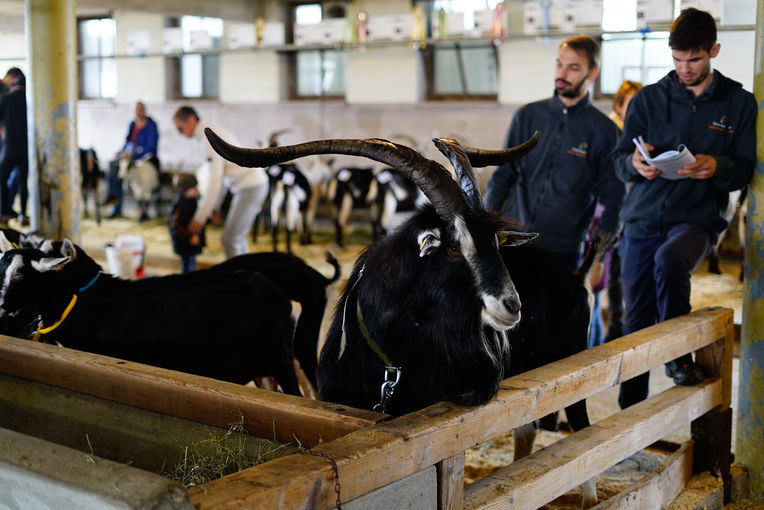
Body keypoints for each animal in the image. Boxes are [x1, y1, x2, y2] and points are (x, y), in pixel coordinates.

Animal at [206, 130, 600, 506]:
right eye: (454, 247)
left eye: (495, 244)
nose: (512, 305)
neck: (390, 365)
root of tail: (574, 276)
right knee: (527, 429)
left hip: (572, 366)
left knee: (583, 428)